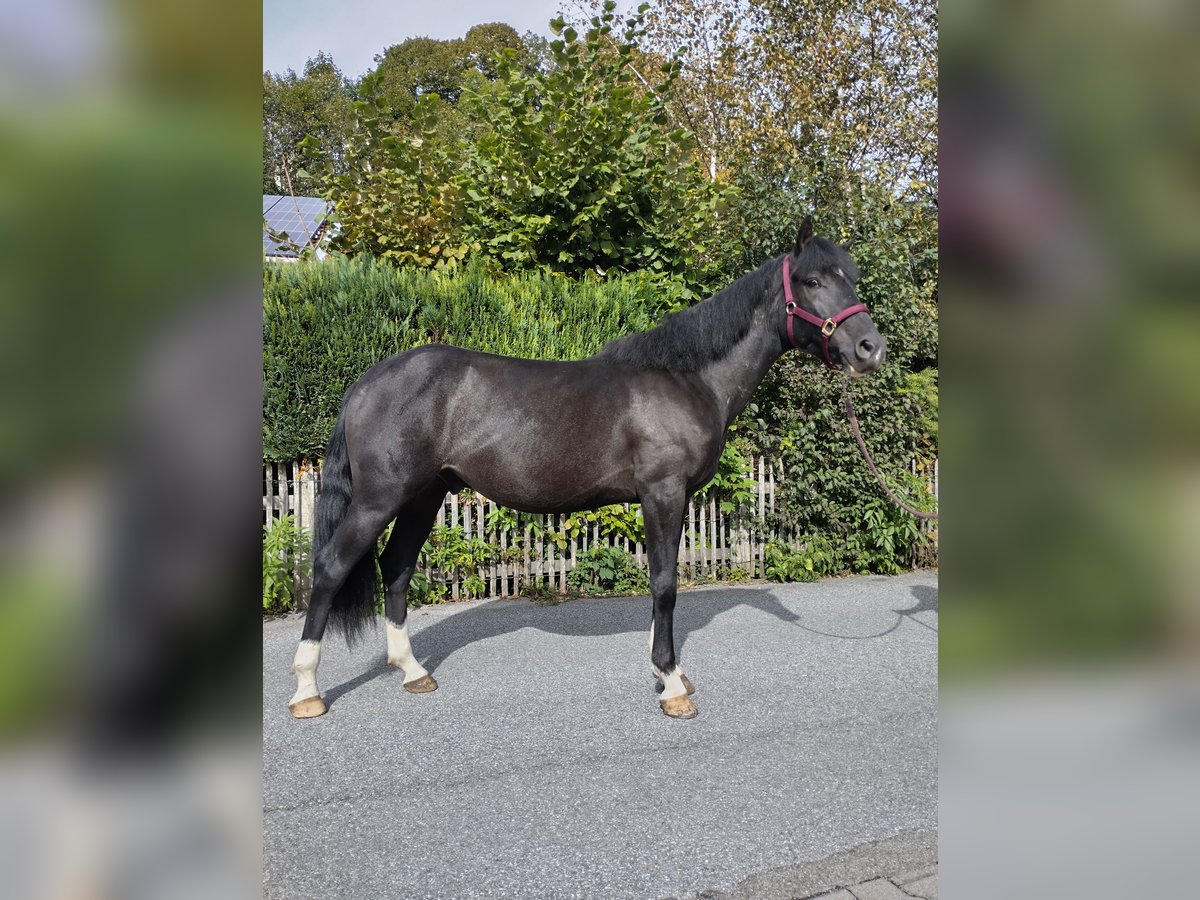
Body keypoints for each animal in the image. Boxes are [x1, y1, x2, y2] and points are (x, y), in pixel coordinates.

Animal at [290, 220, 888, 724]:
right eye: (812, 280)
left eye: (852, 277)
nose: (870, 348)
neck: (687, 378)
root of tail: (366, 382)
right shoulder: (663, 492)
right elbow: (665, 582)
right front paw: (672, 685)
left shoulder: (667, 498)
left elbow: (662, 579)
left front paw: (666, 671)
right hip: (380, 498)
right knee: (331, 567)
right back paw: (306, 690)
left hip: (424, 495)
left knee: (395, 567)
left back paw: (412, 672)